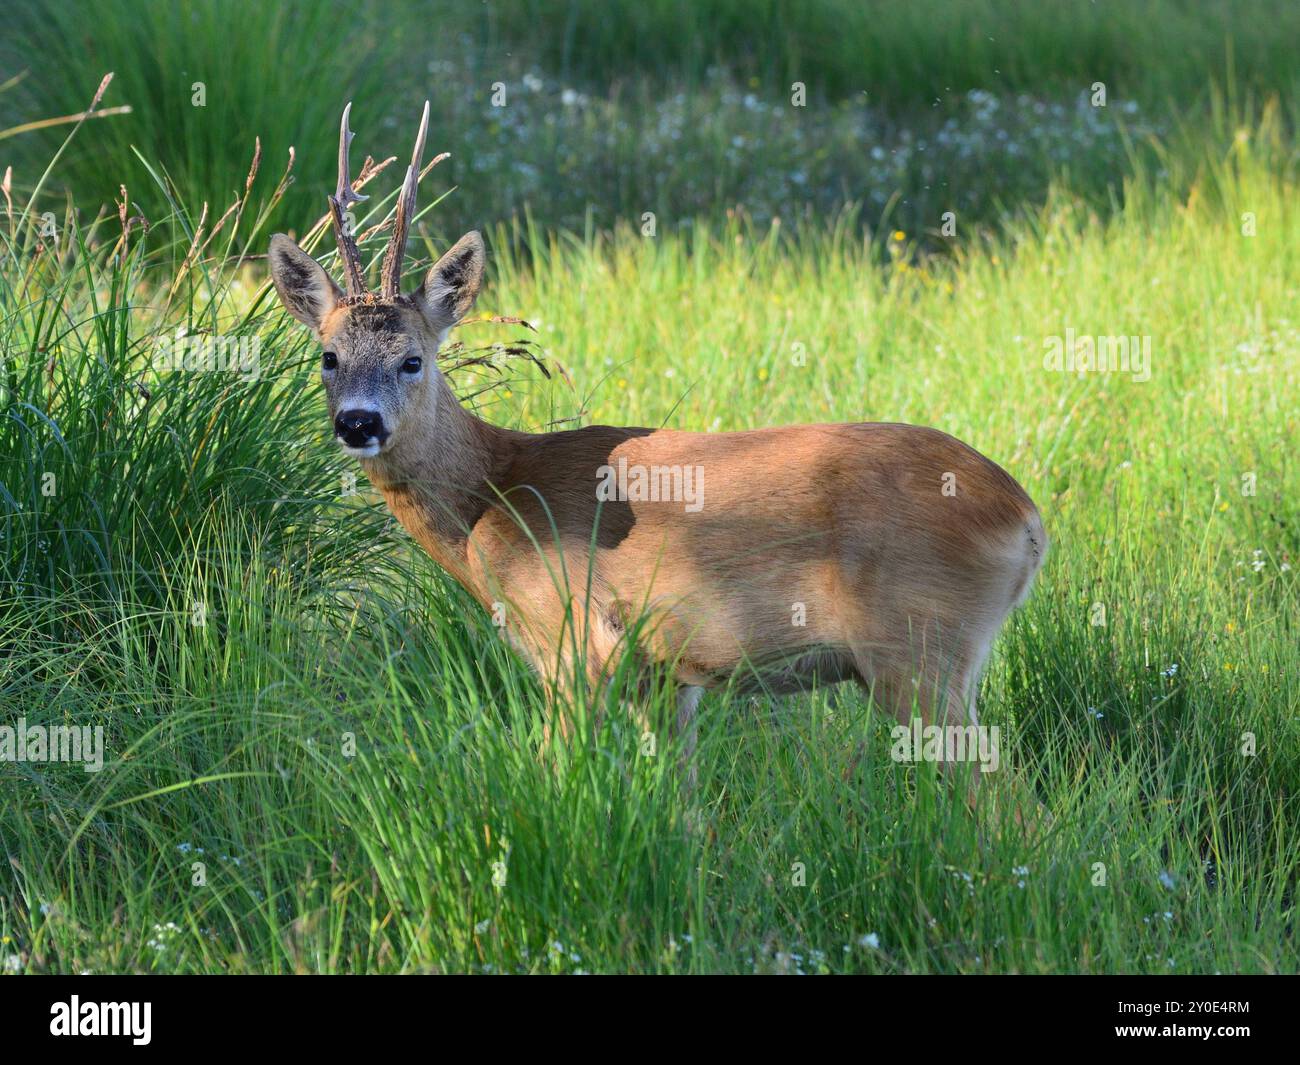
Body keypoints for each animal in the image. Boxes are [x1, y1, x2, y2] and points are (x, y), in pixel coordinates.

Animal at [268, 102, 1047, 807]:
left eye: (413, 359)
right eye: (327, 356)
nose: (358, 422)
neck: (491, 495)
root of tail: (1028, 517)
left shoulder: (573, 642)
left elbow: (552, 777)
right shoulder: (669, 679)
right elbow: (684, 808)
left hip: (919, 650)